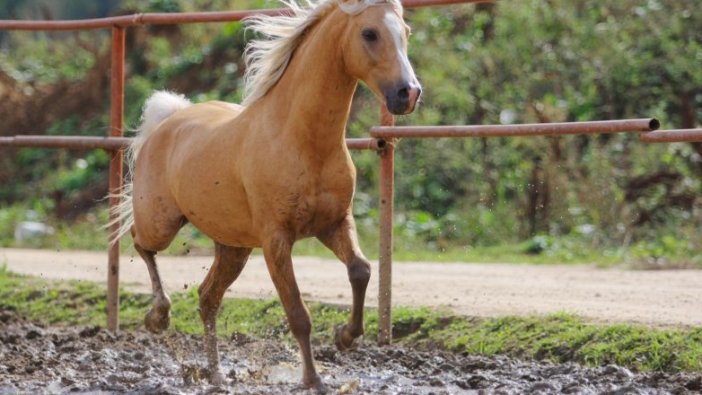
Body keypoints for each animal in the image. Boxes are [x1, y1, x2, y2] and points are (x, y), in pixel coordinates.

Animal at [109, 0, 418, 390]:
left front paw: (345, 337)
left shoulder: (334, 223)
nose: (408, 93)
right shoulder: (276, 240)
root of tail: (167, 121)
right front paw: (313, 380)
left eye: (405, 32)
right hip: (161, 223)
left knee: (207, 298)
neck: (301, 140)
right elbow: (297, 312)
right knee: (140, 242)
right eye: (369, 33)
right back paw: (159, 317)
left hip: (234, 247)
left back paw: (215, 375)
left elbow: (360, 270)